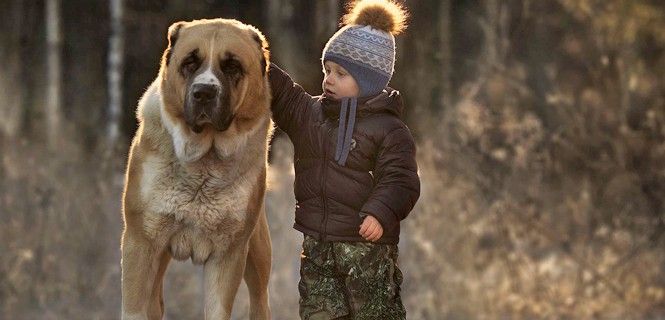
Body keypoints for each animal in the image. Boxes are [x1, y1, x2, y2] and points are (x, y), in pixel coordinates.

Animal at [120, 18, 272, 318]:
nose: (204, 92)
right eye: (190, 62)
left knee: (260, 299)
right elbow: (133, 308)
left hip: (257, 256)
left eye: (232, 66)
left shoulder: (229, 254)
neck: (204, 163)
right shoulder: (140, 242)